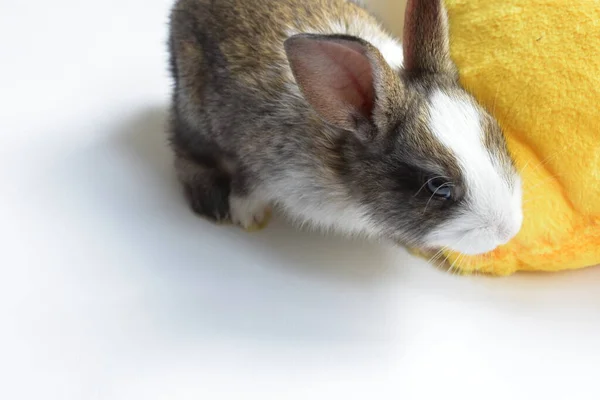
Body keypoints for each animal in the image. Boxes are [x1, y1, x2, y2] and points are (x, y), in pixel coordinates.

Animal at [166, 0, 524, 256]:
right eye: (439, 187)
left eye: (497, 134)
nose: (508, 231)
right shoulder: (258, 160)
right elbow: (246, 188)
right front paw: (248, 219)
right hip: (193, 111)